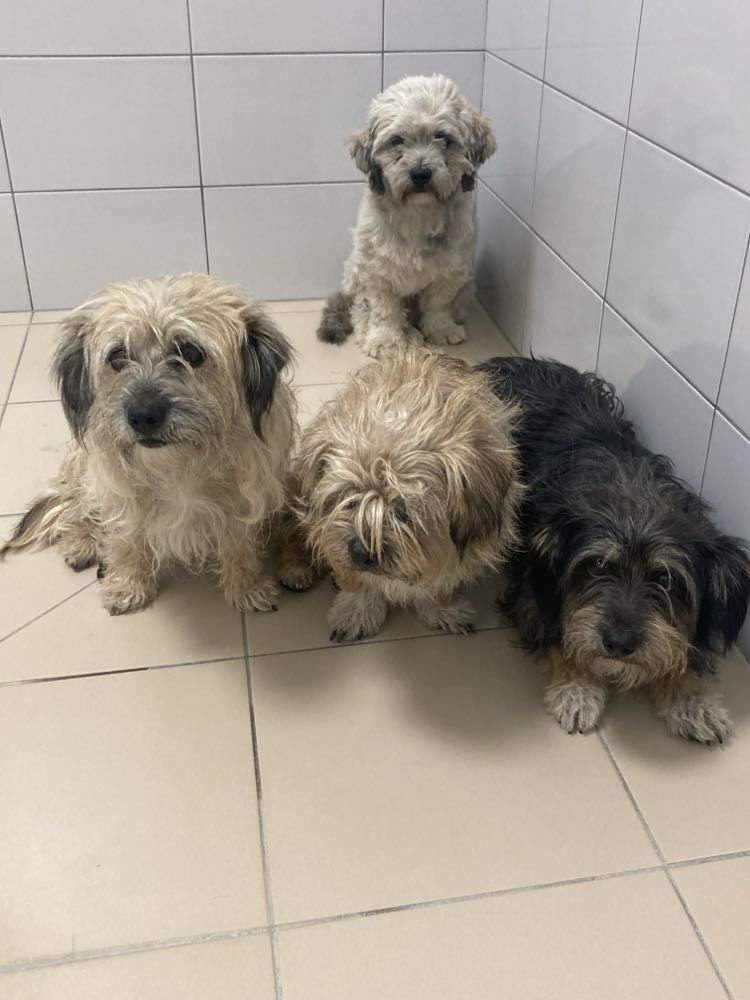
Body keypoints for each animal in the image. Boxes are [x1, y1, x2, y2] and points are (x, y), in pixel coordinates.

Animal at [1, 273, 295, 616]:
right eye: (118, 356)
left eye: (190, 352)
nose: (142, 416)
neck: (178, 466)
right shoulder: (119, 495)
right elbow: (126, 540)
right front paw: (127, 585)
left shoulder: (246, 498)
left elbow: (239, 544)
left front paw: (246, 587)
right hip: (81, 469)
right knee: (73, 504)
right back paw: (80, 542)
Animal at [278, 350, 522, 641]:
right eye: (348, 499)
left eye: (403, 511)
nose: (360, 552)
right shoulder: (330, 533)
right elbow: (356, 580)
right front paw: (356, 611)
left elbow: (445, 574)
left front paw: (444, 608)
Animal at [317, 74, 496, 357]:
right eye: (397, 140)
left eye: (443, 138)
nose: (420, 173)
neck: (418, 212)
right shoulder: (376, 270)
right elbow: (384, 309)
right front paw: (384, 339)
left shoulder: (451, 269)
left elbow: (438, 304)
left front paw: (441, 329)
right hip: (355, 270)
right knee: (361, 311)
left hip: (466, 287)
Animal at [479, 356, 750, 745]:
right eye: (596, 566)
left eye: (666, 580)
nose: (619, 644)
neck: (635, 497)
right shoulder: (533, 586)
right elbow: (558, 629)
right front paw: (577, 688)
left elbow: (682, 647)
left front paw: (693, 699)